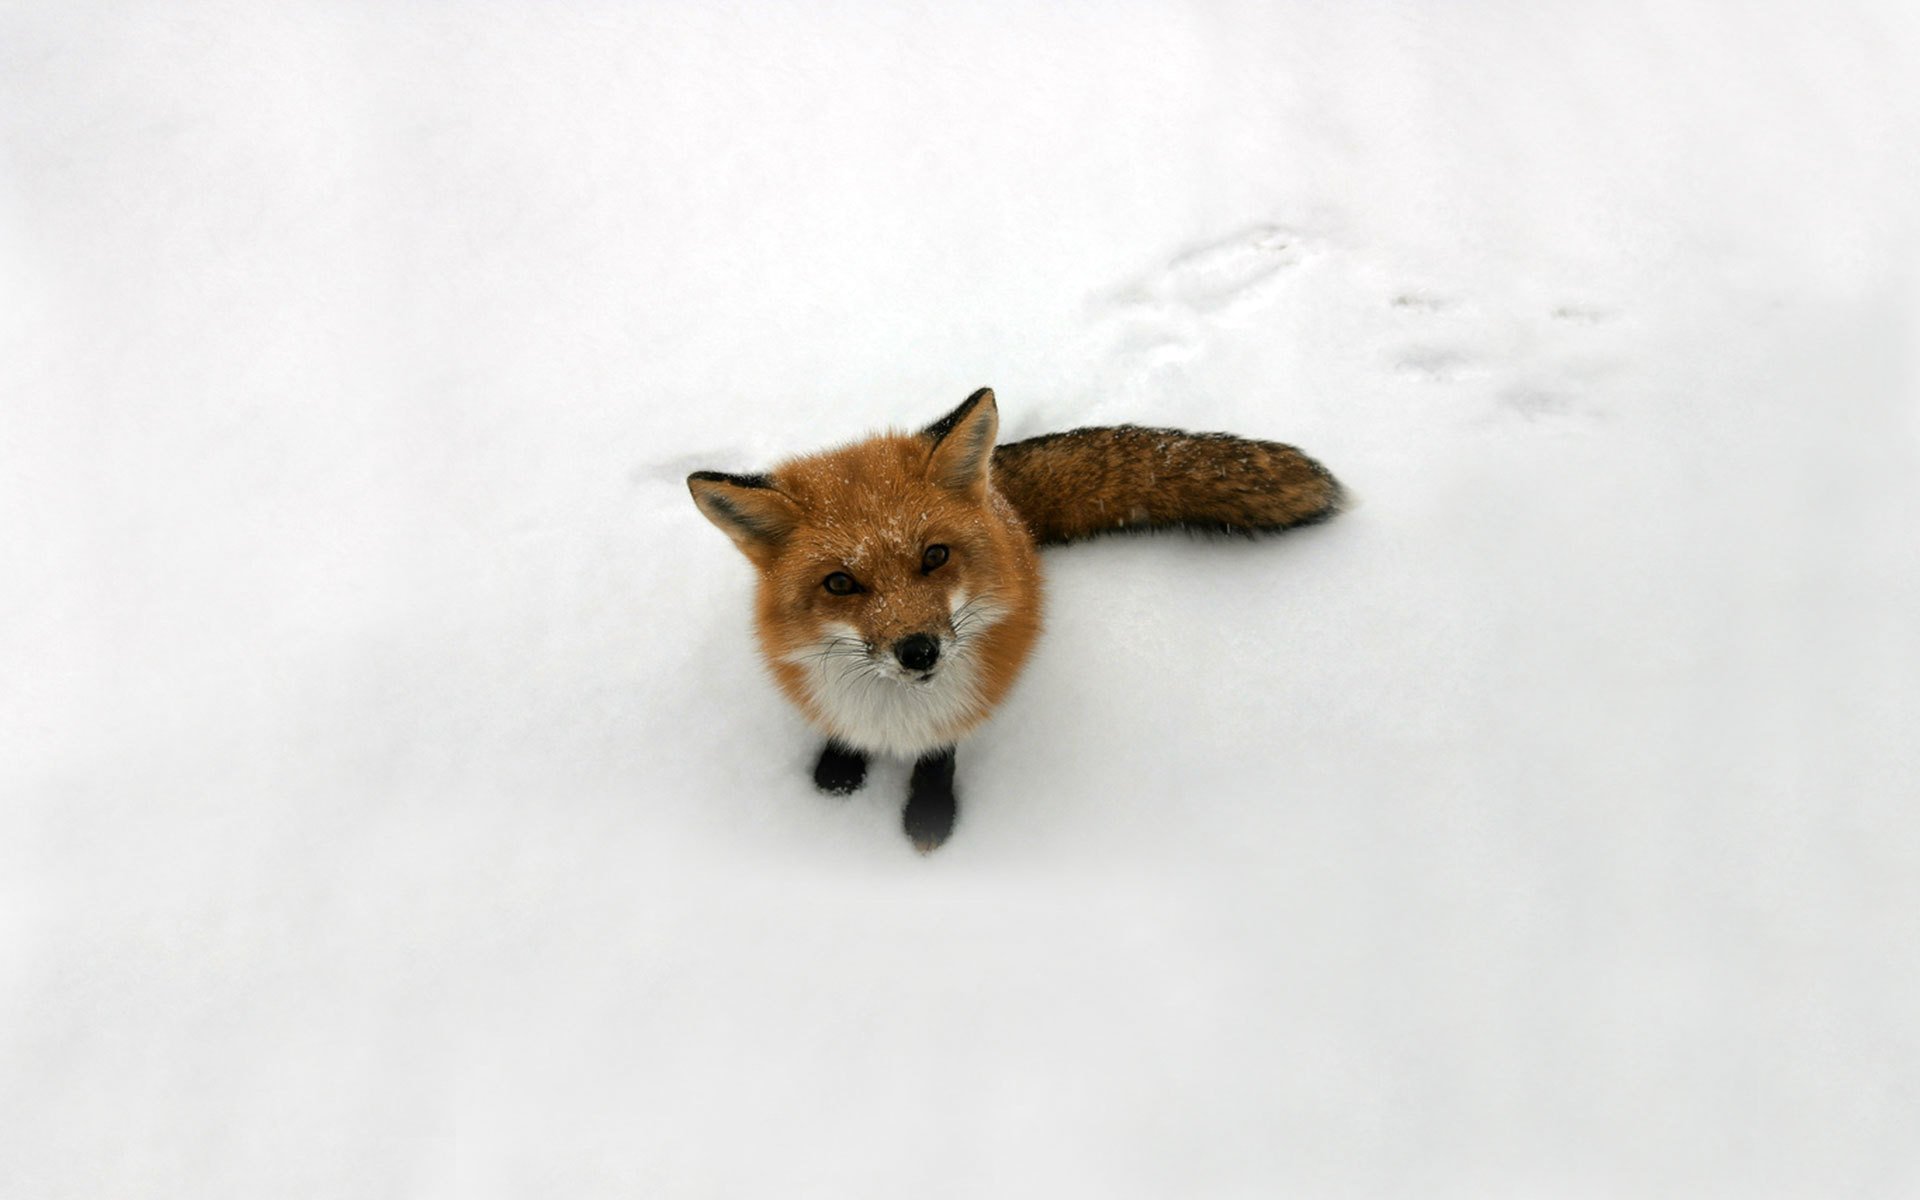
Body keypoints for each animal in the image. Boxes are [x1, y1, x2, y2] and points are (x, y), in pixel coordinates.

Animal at [687, 387, 1342, 852]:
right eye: (840, 584)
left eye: (935, 556)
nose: (919, 651)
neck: (897, 716)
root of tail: (1001, 496)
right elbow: (841, 732)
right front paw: (838, 770)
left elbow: (940, 756)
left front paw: (930, 816)